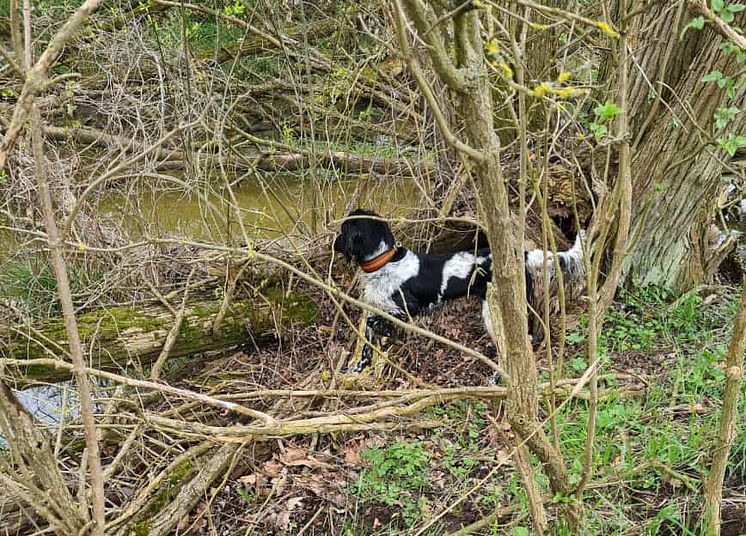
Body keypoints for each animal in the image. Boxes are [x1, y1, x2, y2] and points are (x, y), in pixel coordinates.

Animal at [334, 209, 584, 372]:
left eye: (343, 230)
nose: (334, 242)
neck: (384, 262)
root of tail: (521, 255)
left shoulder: (408, 308)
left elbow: (376, 322)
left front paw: (386, 332)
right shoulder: (375, 306)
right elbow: (367, 342)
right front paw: (358, 367)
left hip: (494, 312)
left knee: (514, 346)